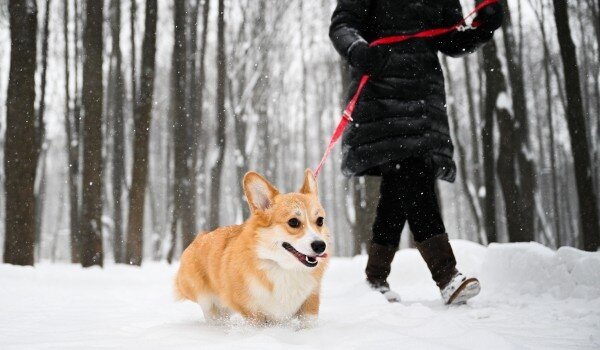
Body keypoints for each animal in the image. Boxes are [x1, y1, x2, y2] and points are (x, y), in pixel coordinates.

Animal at [173, 170, 332, 326]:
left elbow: (308, 324)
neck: (284, 268)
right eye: (293, 222)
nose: (320, 245)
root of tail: (199, 237)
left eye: (320, 220)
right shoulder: (253, 313)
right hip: (208, 302)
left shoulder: (310, 301)